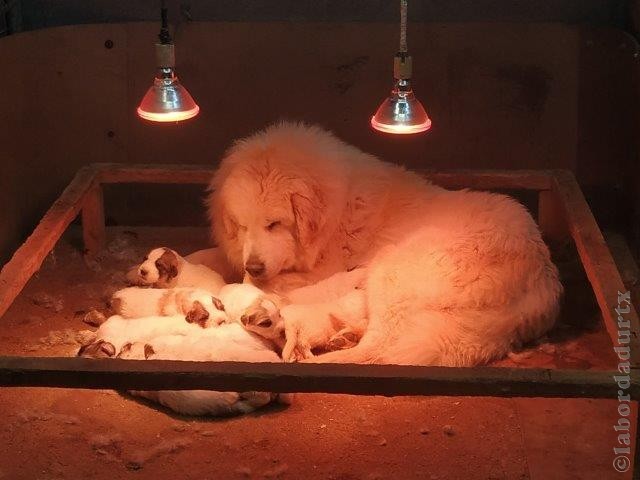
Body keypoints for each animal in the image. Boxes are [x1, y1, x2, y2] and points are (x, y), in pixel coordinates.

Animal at [208, 122, 564, 366]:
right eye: (242, 226)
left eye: (274, 224)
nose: (255, 265)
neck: (336, 207)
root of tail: (542, 277)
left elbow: (256, 282)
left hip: (390, 270)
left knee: (376, 352)